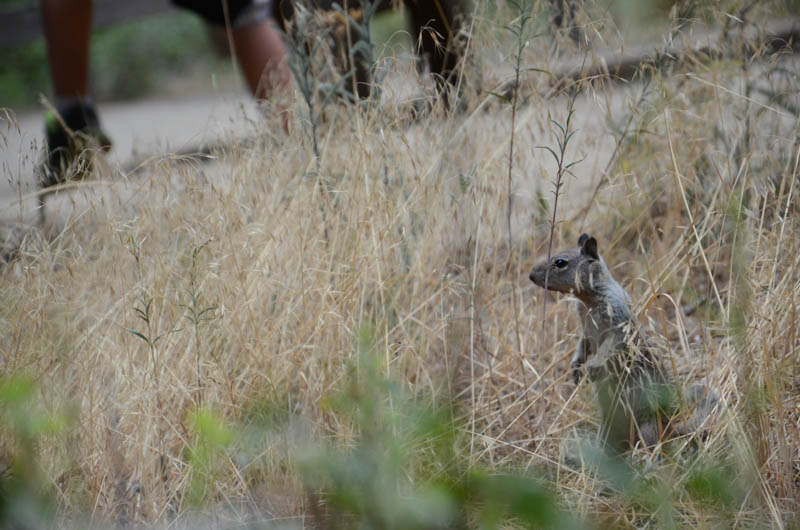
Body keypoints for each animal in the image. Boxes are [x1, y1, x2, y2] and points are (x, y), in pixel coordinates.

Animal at [529, 234, 716, 451]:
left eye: (560, 263)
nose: (531, 275)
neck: (588, 301)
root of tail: (671, 427)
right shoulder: (586, 331)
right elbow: (582, 346)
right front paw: (575, 367)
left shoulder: (619, 327)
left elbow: (608, 347)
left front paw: (593, 365)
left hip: (648, 428)